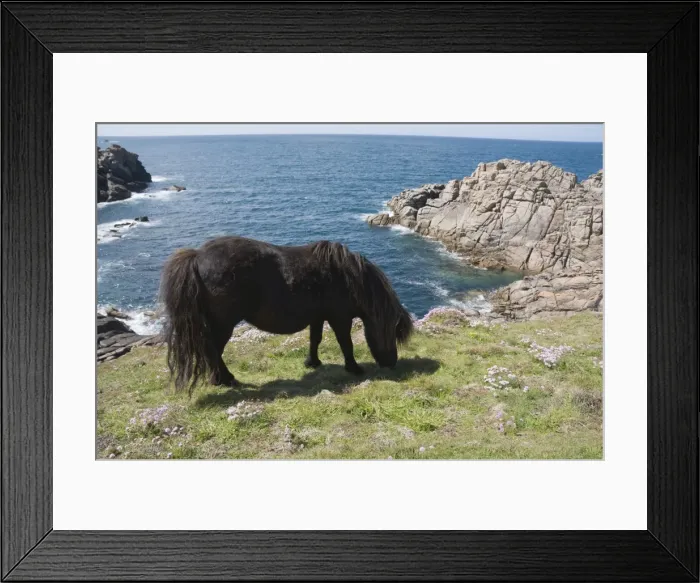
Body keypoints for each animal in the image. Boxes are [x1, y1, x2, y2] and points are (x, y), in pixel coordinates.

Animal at [159, 236, 414, 394]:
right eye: (392, 330)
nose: (391, 363)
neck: (347, 278)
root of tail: (197, 255)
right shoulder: (340, 318)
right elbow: (346, 343)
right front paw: (354, 368)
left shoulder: (318, 317)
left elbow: (315, 339)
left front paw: (312, 362)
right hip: (223, 325)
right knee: (213, 351)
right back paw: (224, 379)